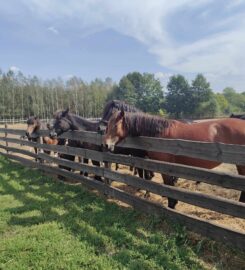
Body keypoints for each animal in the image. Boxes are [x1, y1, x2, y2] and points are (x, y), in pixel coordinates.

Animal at [104, 109, 245, 209]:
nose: (105, 145)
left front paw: (171, 204)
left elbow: (169, 185)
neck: (160, 133)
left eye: (115, 126)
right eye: (107, 125)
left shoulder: (165, 166)